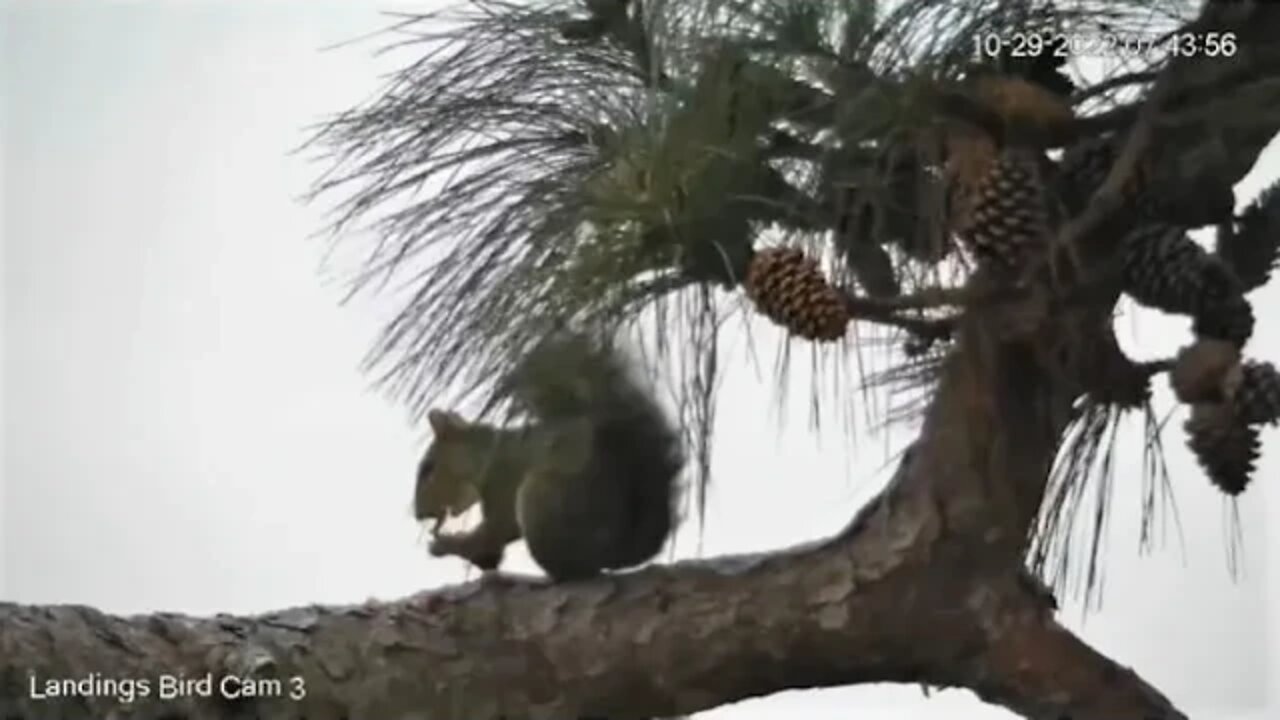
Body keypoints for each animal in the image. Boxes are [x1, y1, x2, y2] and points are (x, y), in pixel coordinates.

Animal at [414, 330, 686, 576]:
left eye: (428, 468)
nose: (418, 514)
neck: (486, 456)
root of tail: (617, 551)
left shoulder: (502, 485)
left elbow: (494, 531)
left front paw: (445, 544)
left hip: (544, 497)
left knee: (574, 571)